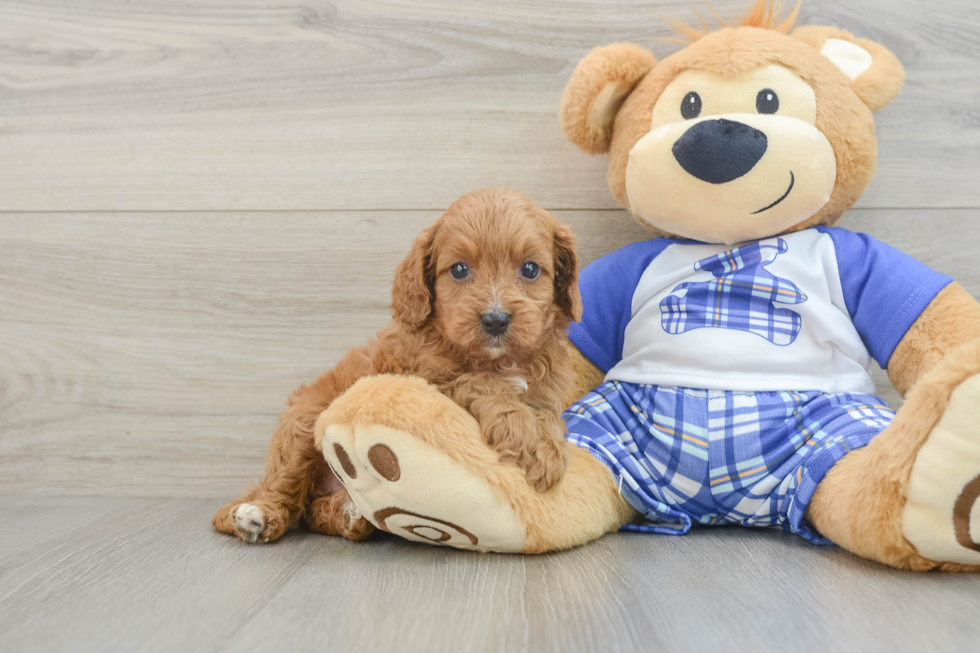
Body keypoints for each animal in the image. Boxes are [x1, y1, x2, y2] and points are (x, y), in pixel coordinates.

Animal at [214, 186, 580, 544]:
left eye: (530, 269)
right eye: (459, 269)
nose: (495, 320)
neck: (499, 358)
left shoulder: (545, 387)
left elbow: (546, 414)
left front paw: (546, 447)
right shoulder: (424, 376)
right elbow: (476, 381)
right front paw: (520, 429)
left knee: (314, 513)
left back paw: (350, 514)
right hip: (304, 421)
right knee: (286, 489)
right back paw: (258, 515)